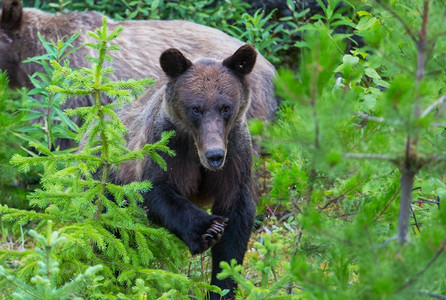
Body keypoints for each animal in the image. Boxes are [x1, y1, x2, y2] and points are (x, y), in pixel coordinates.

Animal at [115, 43, 258, 298]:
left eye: (226, 107)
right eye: (196, 108)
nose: (214, 155)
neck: (195, 149)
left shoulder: (235, 154)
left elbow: (236, 216)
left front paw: (222, 286)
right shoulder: (167, 146)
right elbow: (157, 191)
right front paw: (209, 229)